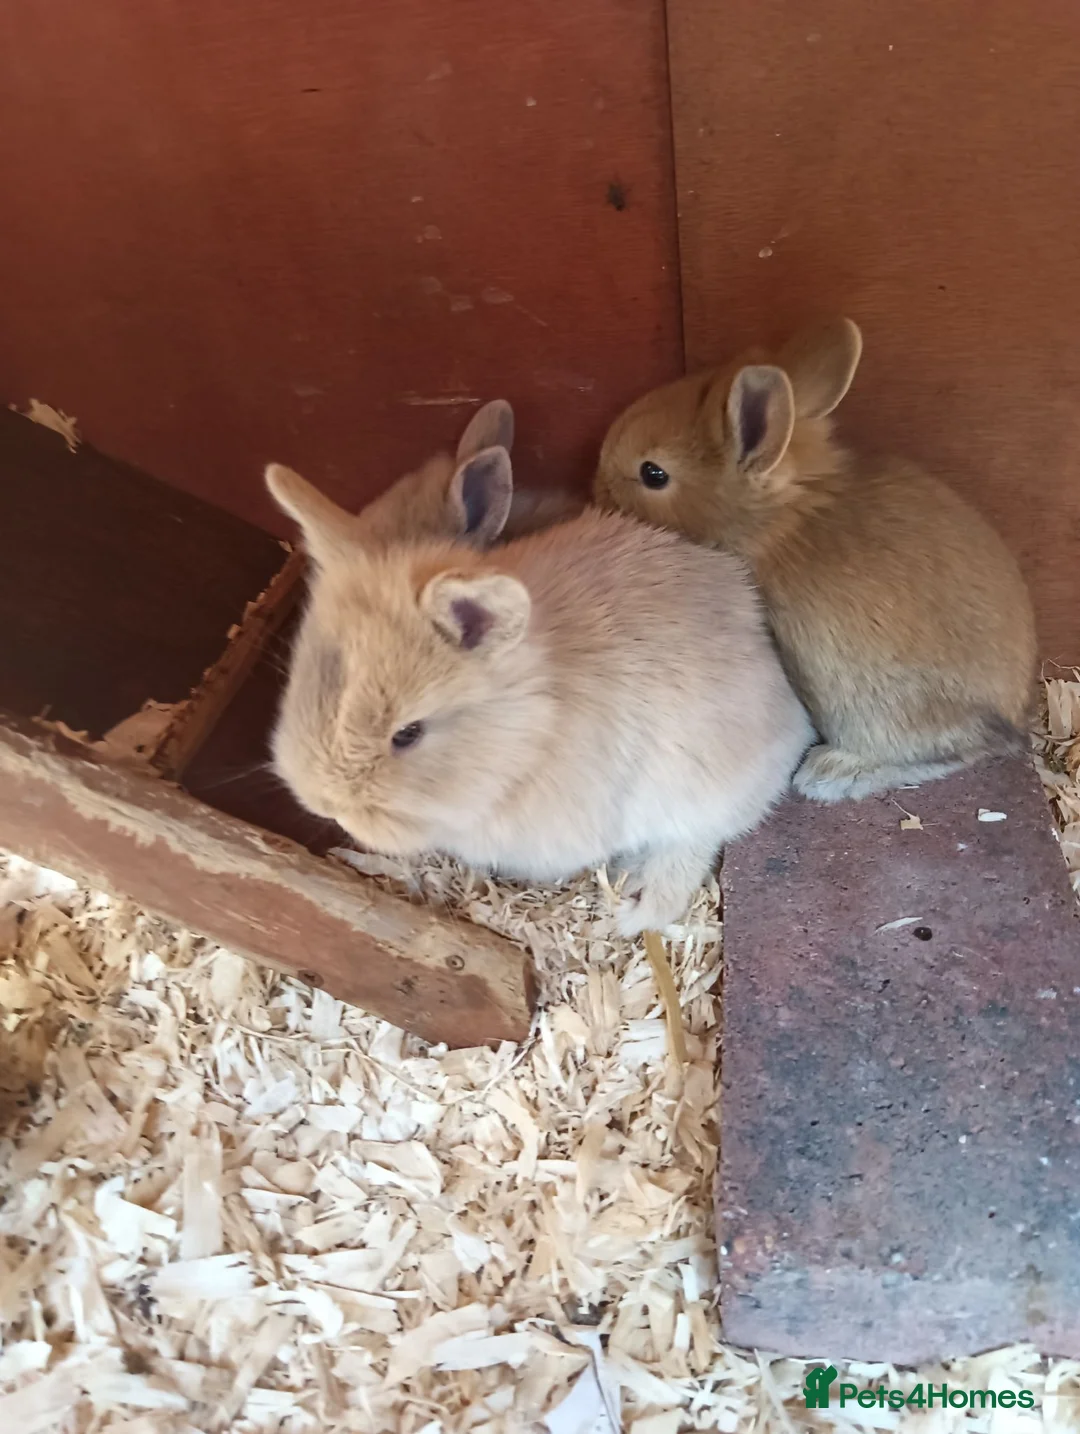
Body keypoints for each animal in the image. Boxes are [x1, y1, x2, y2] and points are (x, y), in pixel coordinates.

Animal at [265, 447, 813, 936]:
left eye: (408, 734)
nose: (326, 805)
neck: (528, 736)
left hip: (696, 803)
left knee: (681, 867)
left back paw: (624, 918)